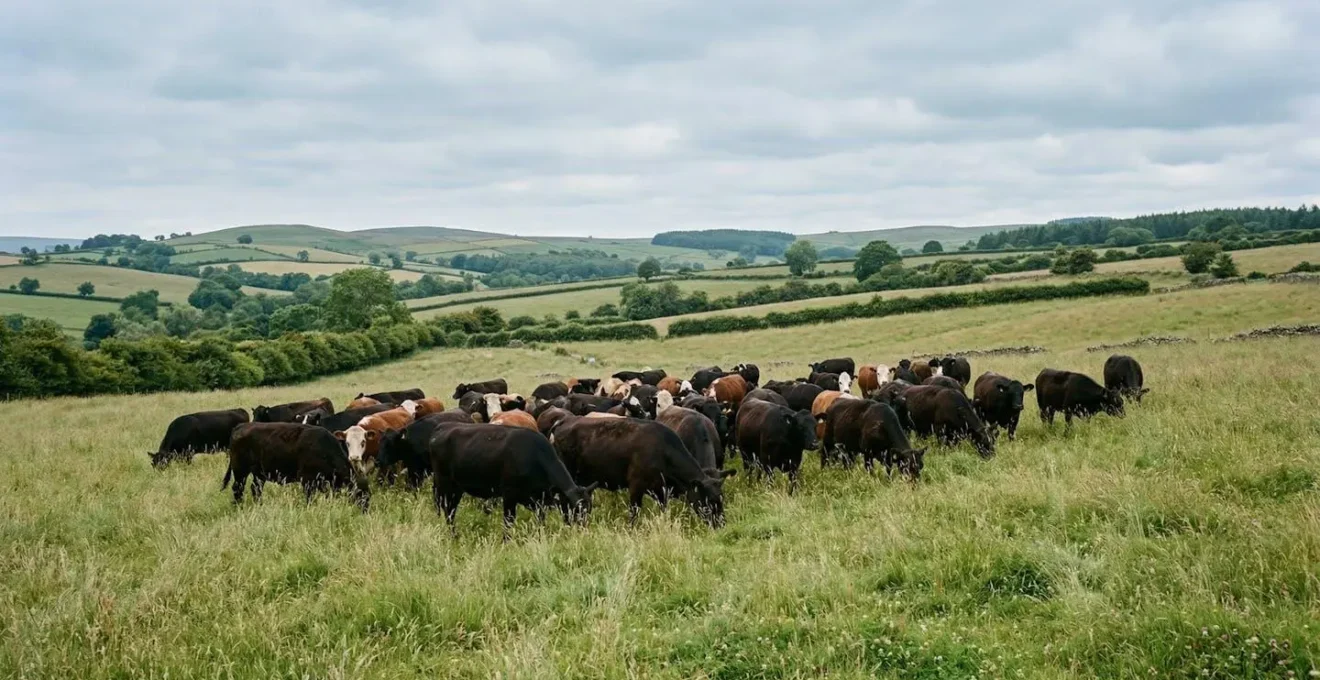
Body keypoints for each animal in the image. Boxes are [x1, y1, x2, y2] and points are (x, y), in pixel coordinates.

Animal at [223, 422, 369, 510]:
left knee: (255, 488)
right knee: (238, 488)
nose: (365, 511)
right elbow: (309, 498)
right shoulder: (307, 480)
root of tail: (240, 426)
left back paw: (259, 505)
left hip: (259, 474)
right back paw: (238, 506)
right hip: (240, 471)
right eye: (360, 495)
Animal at [429, 423, 596, 539]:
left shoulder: (538, 500)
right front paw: (506, 541)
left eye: (588, 509)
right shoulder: (509, 494)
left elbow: (540, 520)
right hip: (445, 484)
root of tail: (442, 428)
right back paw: (453, 536)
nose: (583, 531)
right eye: (575, 508)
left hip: (457, 488)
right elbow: (509, 520)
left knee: (451, 510)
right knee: (448, 511)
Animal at [550, 417, 728, 526]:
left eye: (721, 498)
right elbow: (634, 513)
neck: (663, 452)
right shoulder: (636, 486)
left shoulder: (661, 491)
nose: (721, 524)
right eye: (708, 501)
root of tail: (565, 420)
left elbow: (663, 510)